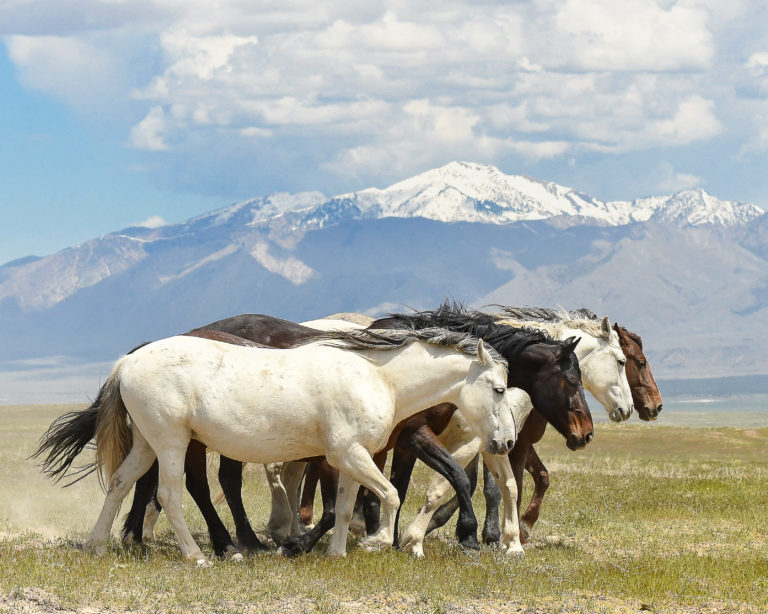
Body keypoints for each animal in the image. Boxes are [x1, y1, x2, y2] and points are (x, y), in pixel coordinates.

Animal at [66, 327, 519, 563]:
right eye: (498, 389)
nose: (507, 441)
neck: (378, 377)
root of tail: (127, 362)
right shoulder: (347, 454)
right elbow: (388, 494)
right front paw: (378, 542)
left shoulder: (351, 457)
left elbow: (345, 505)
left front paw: (336, 552)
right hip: (172, 443)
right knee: (170, 495)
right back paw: (203, 554)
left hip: (146, 444)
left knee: (121, 484)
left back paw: (97, 545)